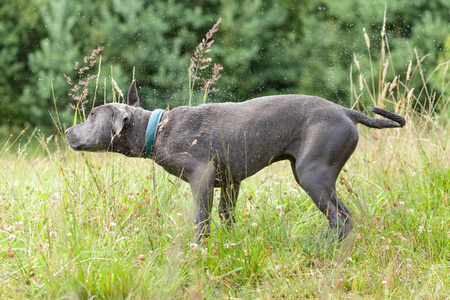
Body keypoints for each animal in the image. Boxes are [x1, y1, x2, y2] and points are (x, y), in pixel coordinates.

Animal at [65, 81, 406, 245]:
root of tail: (347, 112)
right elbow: (226, 217)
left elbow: (201, 221)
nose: (68, 131)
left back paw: (321, 248)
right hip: (310, 174)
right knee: (343, 218)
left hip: (313, 175)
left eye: (92, 115)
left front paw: (199, 250)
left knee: (341, 219)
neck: (156, 129)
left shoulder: (202, 178)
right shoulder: (231, 182)